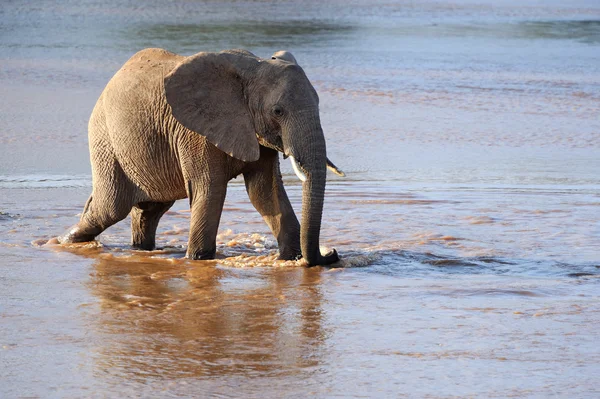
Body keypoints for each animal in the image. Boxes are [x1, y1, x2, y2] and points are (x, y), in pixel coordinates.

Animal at [59, 47, 346, 266]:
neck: (252, 69)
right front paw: (198, 259)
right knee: (109, 208)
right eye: (278, 111)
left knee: (149, 210)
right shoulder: (196, 133)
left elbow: (265, 192)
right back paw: (62, 242)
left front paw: (293, 258)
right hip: (105, 138)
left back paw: (141, 250)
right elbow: (210, 189)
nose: (331, 252)